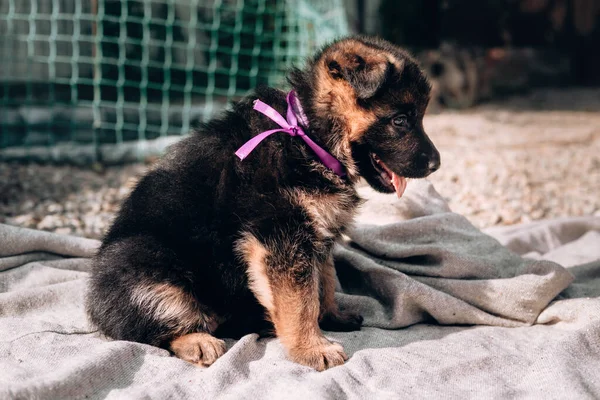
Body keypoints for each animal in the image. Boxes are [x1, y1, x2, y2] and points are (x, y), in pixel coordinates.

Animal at [85, 36, 440, 370]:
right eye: (400, 120)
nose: (436, 164)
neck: (308, 136)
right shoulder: (280, 237)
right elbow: (300, 302)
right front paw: (312, 348)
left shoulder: (316, 235)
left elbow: (323, 281)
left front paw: (331, 317)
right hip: (145, 264)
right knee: (152, 328)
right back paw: (198, 340)